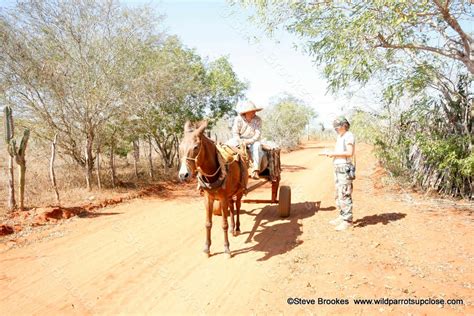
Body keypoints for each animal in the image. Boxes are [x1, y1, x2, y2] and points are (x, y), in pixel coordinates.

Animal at [179, 120, 248, 256]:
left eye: (196, 147)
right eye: (180, 147)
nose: (183, 175)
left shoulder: (222, 198)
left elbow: (224, 224)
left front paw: (226, 248)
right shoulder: (208, 199)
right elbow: (208, 223)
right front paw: (207, 247)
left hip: (239, 191)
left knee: (237, 207)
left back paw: (237, 228)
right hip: (229, 195)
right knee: (232, 207)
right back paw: (232, 228)